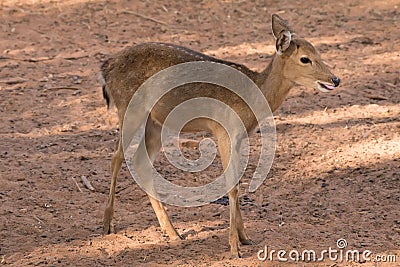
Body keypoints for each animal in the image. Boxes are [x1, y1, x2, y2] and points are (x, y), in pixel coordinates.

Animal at [98, 13, 340, 258]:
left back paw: (173, 232)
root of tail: (106, 69)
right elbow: (232, 186)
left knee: (139, 160)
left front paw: (245, 238)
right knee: (117, 156)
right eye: (305, 59)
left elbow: (237, 182)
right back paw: (108, 225)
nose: (335, 79)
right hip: (128, 107)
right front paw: (234, 248)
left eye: (318, 53)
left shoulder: (240, 137)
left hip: (155, 121)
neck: (253, 99)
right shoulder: (224, 129)